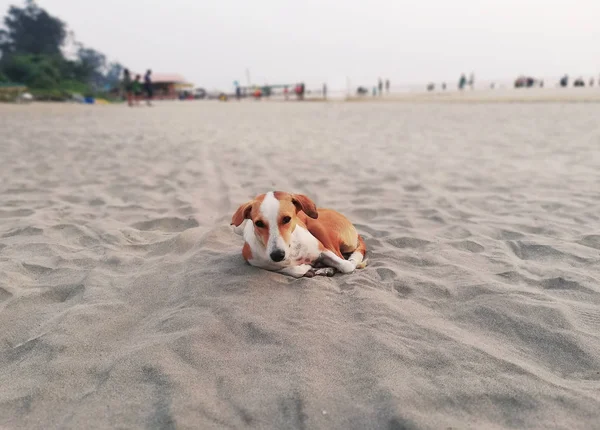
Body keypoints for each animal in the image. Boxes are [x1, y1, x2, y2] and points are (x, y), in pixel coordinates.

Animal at [232, 191, 368, 278]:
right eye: (259, 223)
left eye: (287, 219)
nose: (277, 255)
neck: (292, 250)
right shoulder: (259, 263)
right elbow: (294, 270)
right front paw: (308, 268)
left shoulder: (322, 249)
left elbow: (347, 266)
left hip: (317, 226)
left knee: (340, 256)